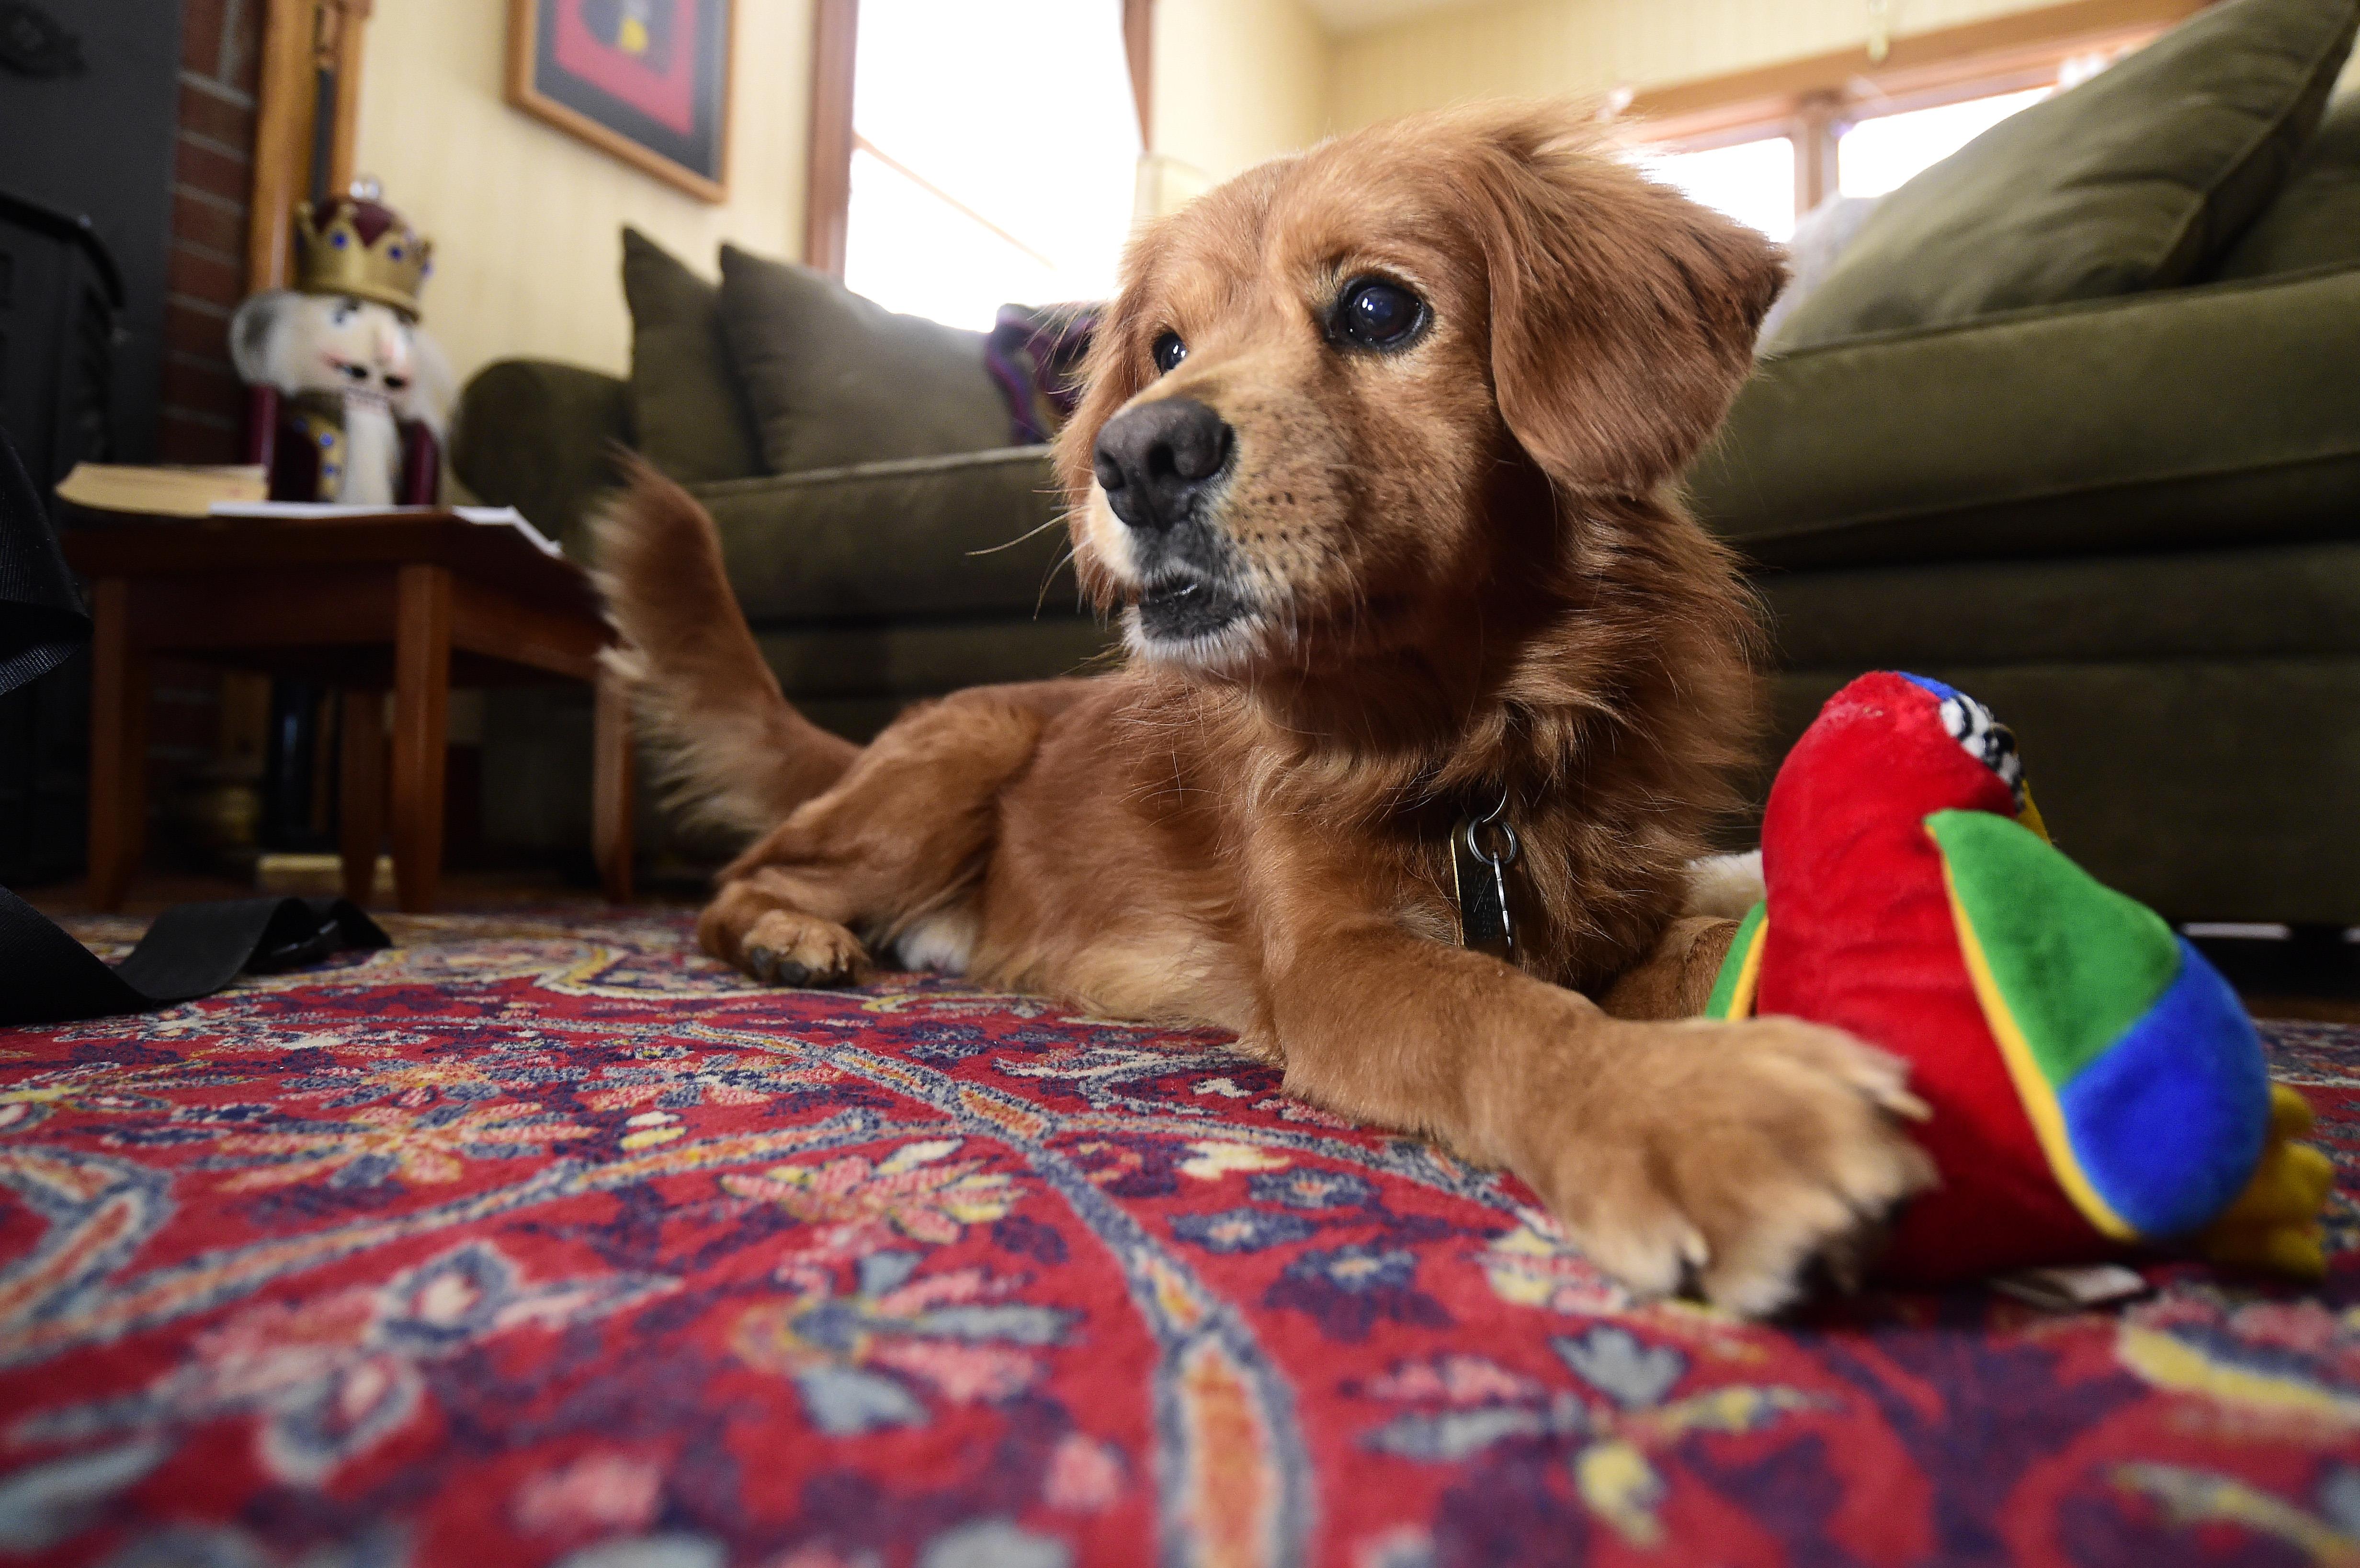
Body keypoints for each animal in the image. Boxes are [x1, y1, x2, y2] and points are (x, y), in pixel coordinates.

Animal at [594, 103, 1935, 1313]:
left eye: (1380, 309)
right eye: (1166, 351)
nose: (1132, 459)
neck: (1476, 727)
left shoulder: (1621, 906)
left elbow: (1713, 936)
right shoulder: (1337, 964)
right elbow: (1502, 1013)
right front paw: (1685, 1103)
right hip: (948, 767)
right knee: (736, 883)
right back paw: (790, 935)